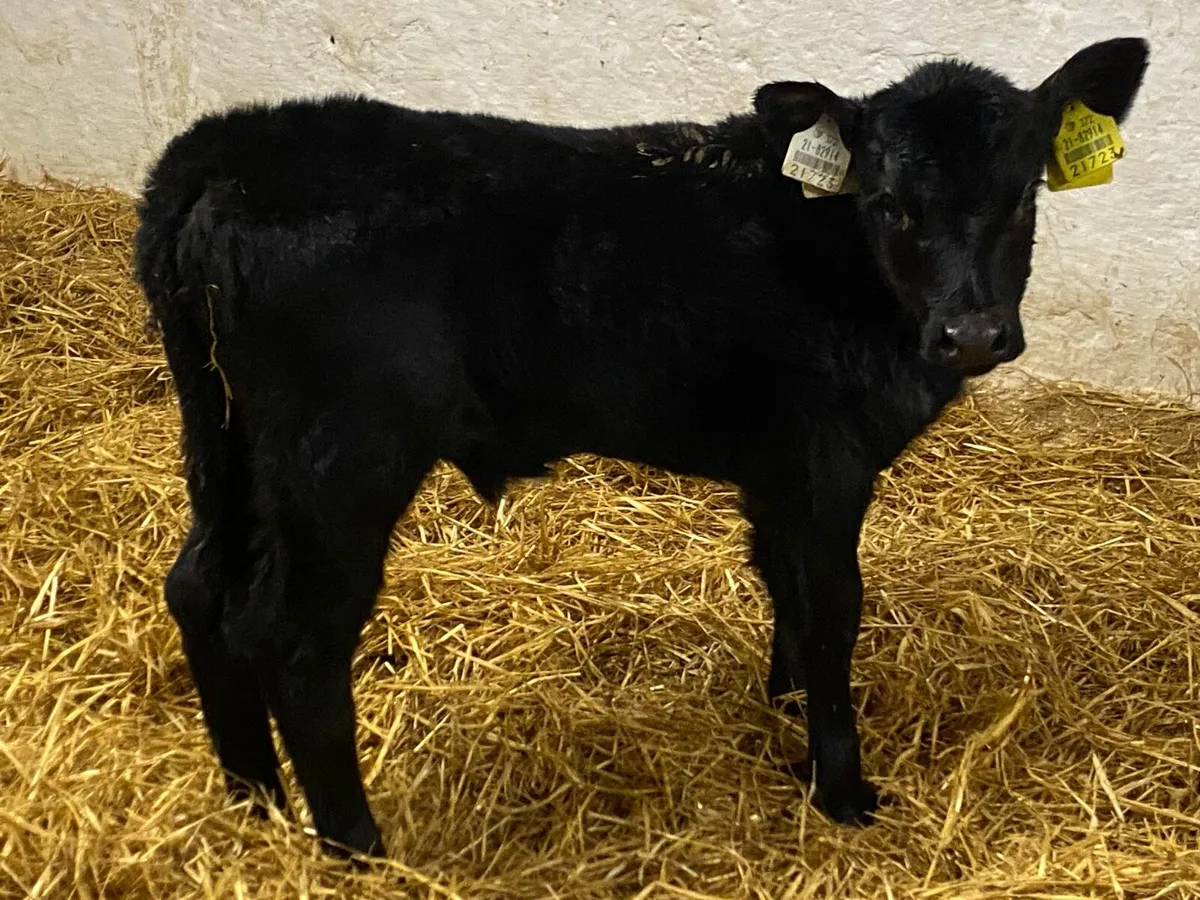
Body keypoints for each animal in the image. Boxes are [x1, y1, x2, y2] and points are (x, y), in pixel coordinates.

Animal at [133, 38, 1149, 857]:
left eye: (1021, 196)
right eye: (894, 205)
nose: (974, 334)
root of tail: (220, 151)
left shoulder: (776, 466)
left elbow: (782, 586)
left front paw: (781, 710)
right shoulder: (828, 462)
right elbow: (832, 612)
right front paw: (842, 787)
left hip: (226, 439)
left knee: (200, 588)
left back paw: (253, 800)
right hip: (340, 454)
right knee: (292, 635)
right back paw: (356, 846)